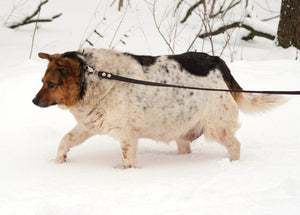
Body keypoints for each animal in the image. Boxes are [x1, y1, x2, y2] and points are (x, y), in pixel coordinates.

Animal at [32, 48, 286, 168]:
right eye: (42, 81)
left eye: (51, 84)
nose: (33, 102)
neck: (94, 77)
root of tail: (216, 60)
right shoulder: (89, 125)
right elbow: (65, 140)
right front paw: (59, 162)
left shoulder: (128, 136)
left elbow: (128, 163)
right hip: (184, 132)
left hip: (217, 127)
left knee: (236, 145)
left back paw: (233, 166)